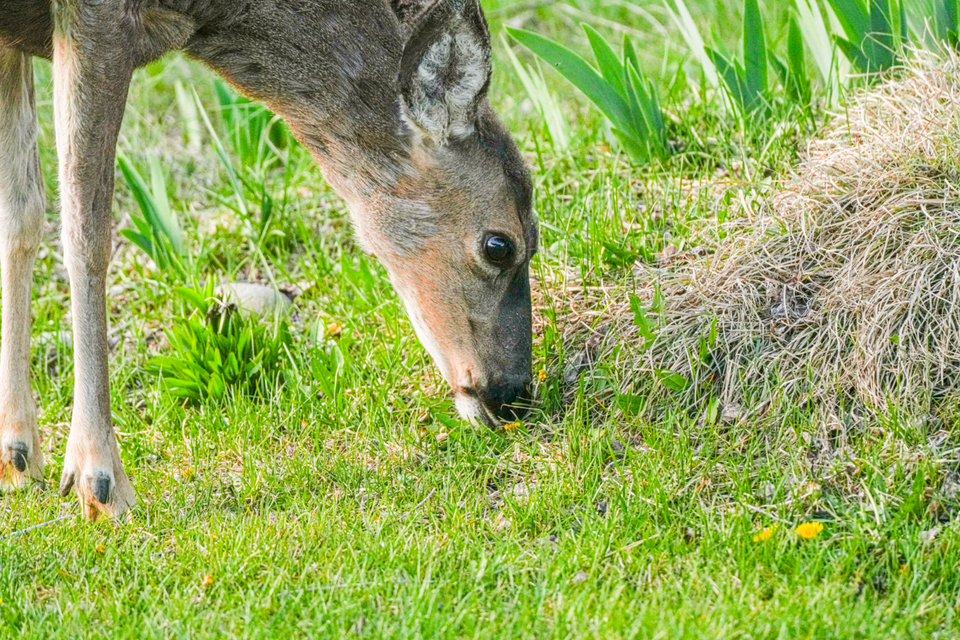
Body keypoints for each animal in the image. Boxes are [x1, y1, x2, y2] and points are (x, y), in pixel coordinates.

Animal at [0, 0, 538, 520]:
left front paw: (18, 456)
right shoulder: (95, 15)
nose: (512, 393)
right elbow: (85, 233)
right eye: (499, 245)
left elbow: (20, 214)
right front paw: (99, 479)